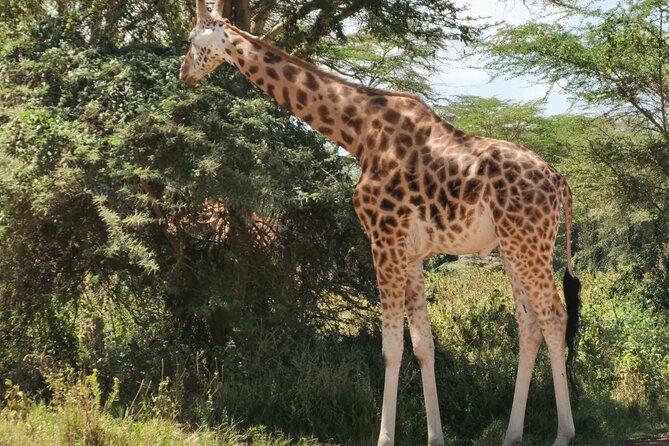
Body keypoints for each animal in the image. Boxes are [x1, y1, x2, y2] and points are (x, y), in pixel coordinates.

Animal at [179, 2, 582, 445]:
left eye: (192, 40)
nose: (184, 74)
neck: (358, 134)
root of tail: (562, 184)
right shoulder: (413, 251)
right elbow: (423, 344)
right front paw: (435, 436)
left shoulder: (383, 238)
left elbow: (391, 347)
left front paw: (385, 437)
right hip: (512, 247)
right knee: (529, 326)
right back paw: (512, 434)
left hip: (528, 243)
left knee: (554, 318)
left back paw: (563, 434)